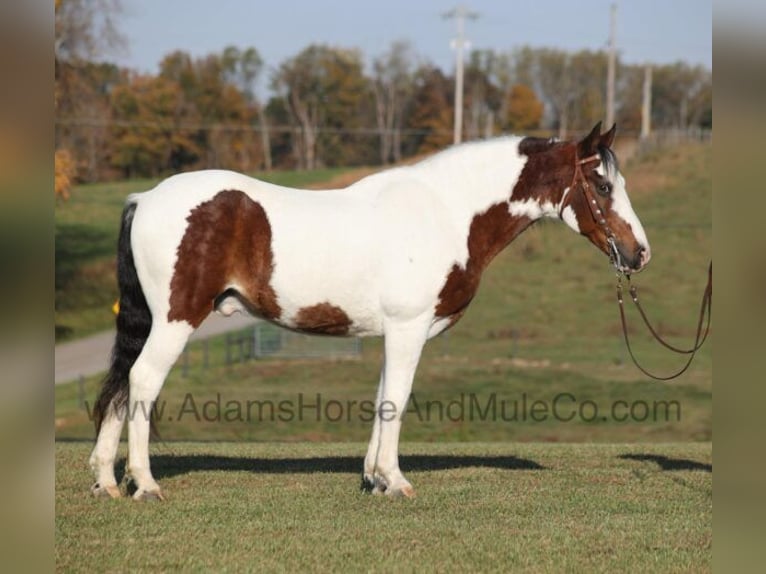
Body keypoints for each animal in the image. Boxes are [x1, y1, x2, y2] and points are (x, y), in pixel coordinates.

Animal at [90, 122, 650, 500]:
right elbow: (396, 401)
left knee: (121, 385)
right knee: (142, 381)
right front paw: (395, 481)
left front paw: (374, 478)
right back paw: (145, 483)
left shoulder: (394, 334)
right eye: (604, 186)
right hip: (175, 320)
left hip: (151, 322)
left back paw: (106, 481)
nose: (640, 253)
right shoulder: (409, 328)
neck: (445, 214)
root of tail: (146, 197)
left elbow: (383, 397)